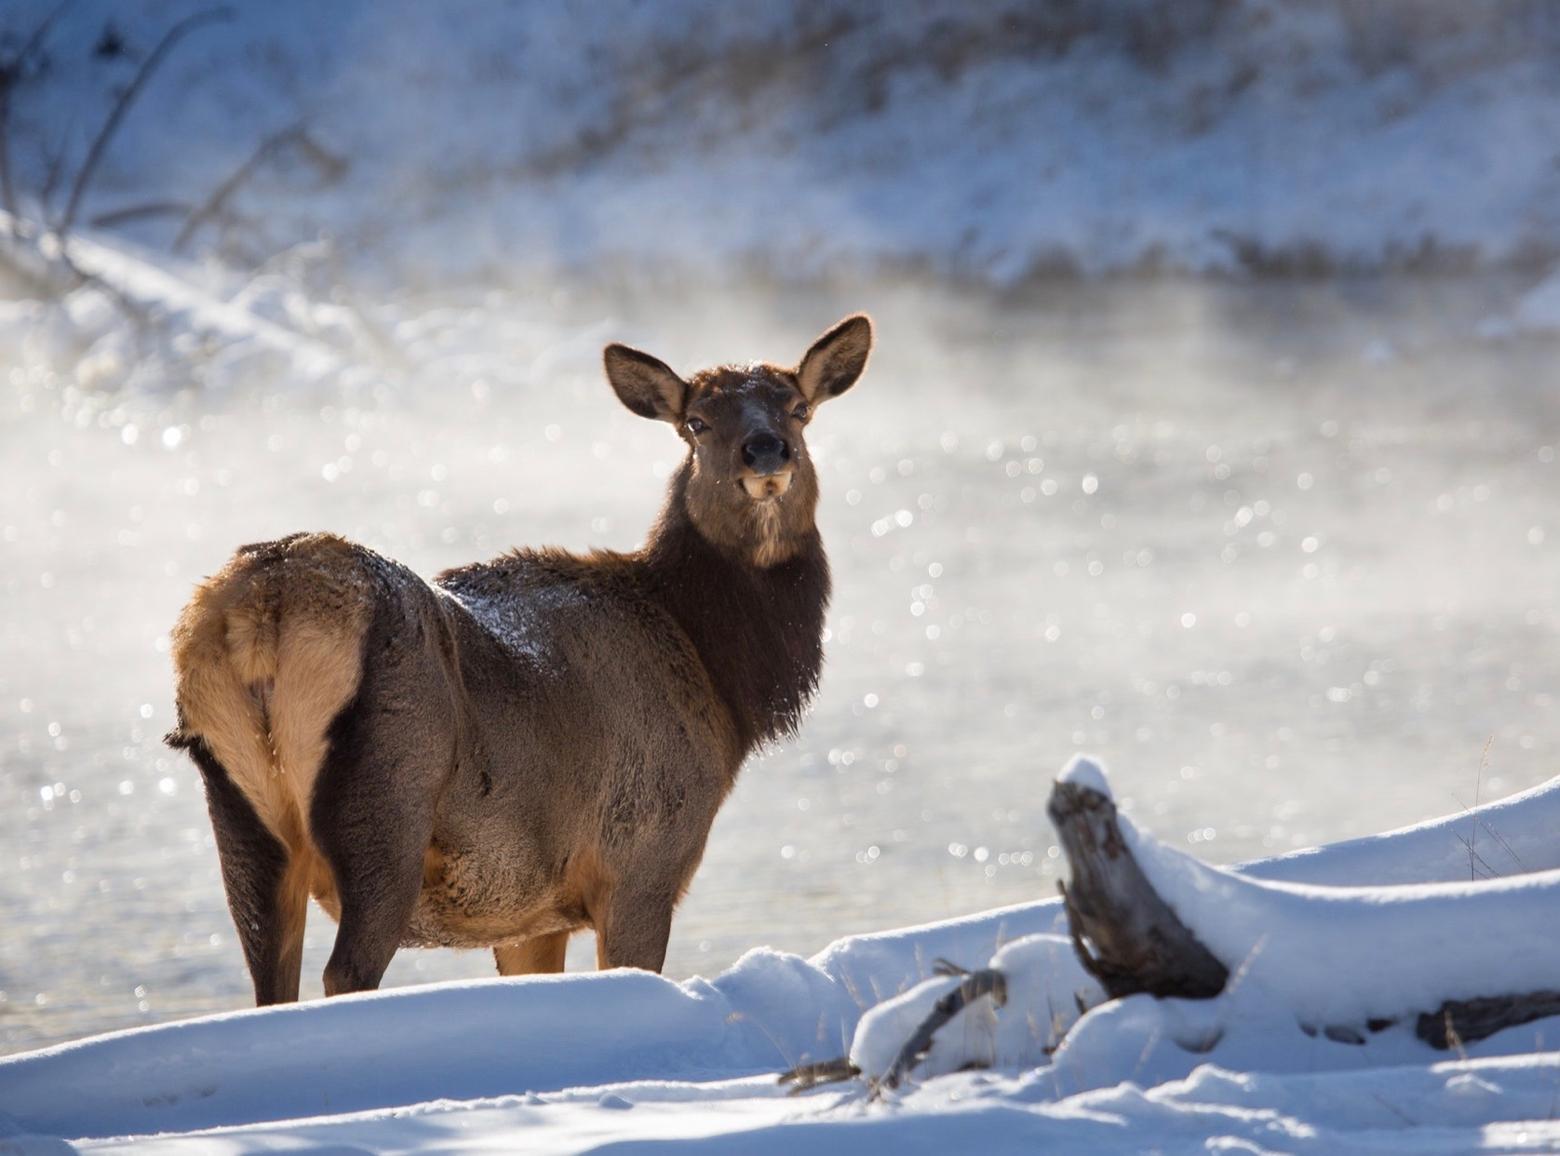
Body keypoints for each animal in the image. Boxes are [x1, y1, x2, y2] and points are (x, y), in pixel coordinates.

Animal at [172, 315, 879, 998]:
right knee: (346, 972)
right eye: (695, 423)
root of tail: (263, 609)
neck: (719, 676)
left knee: (271, 981)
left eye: (798, 408)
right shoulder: (642, 861)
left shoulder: (529, 914)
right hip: (389, 802)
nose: (766, 451)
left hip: (243, 813)